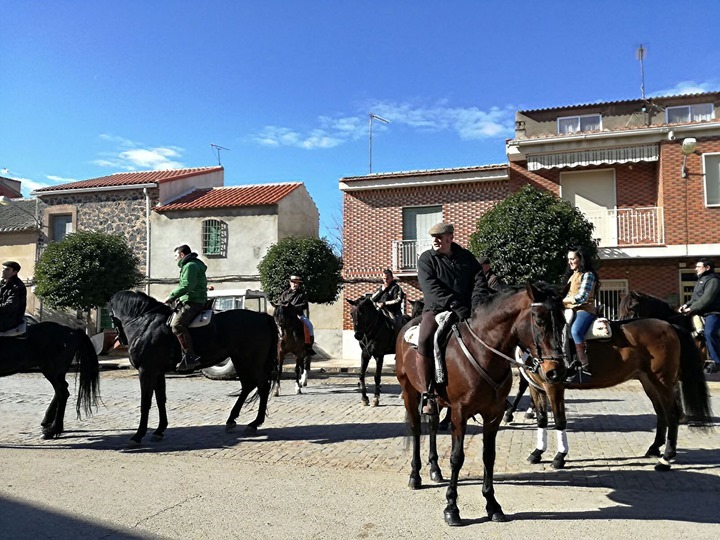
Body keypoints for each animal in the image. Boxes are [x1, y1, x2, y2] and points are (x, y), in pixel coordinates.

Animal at [109, 292, 278, 448]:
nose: (120, 340)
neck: (146, 325)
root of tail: (263, 316)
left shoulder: (147, 371)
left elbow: (146, 403)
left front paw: (138, 435)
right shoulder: (157, 372)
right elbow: (160, 400)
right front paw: (159, 430)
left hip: (253, 361)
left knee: (262, 386)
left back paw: (255, 423)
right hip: (239, 359)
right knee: (248, 385)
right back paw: (232, 420)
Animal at [396, 282, 564, 528]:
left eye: (563, 321)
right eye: (540, 321)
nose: (555, 371)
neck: (483, 351)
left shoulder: (493, 415)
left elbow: (489, 456)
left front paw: (492, 505)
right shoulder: (459, 414)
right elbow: (457, 458)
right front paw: (451, 508)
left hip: (435, 402)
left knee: (433, 426)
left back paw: (435, 469)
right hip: (409, 391)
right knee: (416, 430)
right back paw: (415, 476)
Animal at [520, 308, 712, 472]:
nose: (554, 367)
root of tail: (669, 326)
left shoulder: (554, 387)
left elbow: (559, 420)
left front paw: (559, 457)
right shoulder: (536, 388)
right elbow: (542, 419)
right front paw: (537, 453)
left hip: (662, 381)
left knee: (671, 413)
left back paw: (665, 459)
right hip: (649, 381)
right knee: (661, 412)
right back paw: (654, 448)